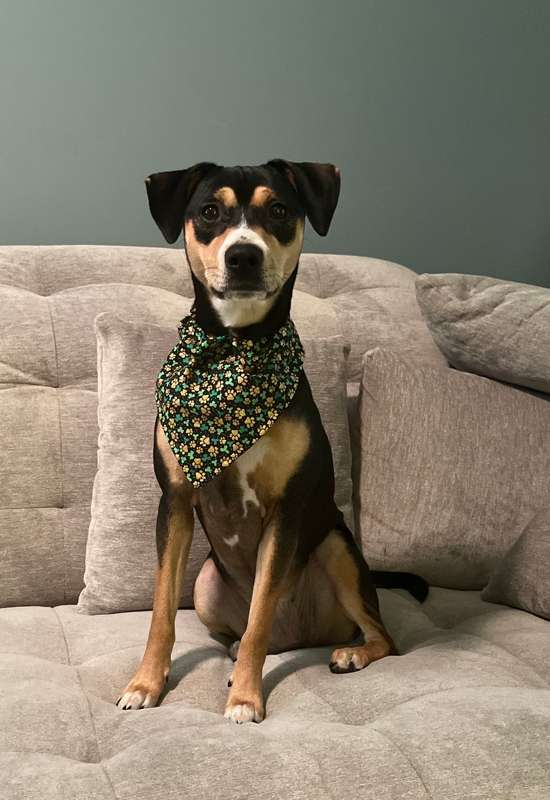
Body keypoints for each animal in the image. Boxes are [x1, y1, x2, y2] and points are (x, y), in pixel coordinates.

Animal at [115, 159, 426, 720]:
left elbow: (261, 613)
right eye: (209, 212)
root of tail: (300, 636)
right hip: (206, 584)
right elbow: (161, 613)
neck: (236, 350)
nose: (243, 256)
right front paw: (145, 684)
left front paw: (245, 698)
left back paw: (347, 653)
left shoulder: (286, 509)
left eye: (279, 210)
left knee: (378, 635)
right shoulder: (174, 501)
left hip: (336, 549)